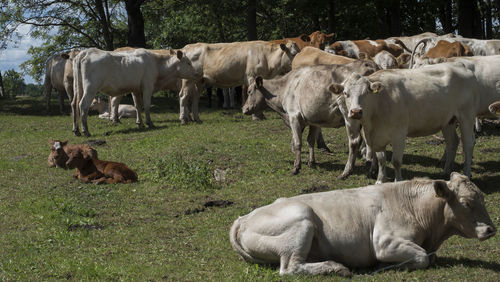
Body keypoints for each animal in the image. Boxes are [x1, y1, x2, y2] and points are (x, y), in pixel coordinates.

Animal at [72, 47, 201, 137]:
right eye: (188, 63)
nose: (197, 74)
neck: (157, 64)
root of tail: (85, 52)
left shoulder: (136, 90)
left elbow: (138, 106)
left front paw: (140, 123)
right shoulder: (148, 86)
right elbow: (147, 105)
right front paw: (149, 123)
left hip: (77, 86)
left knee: (74, 104)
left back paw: (76, 130)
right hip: (90, 87)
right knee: (83, 105)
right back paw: (85, 131)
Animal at [230, 173, 496, 276]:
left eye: (483, 197)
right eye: (466, 202)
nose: (491, 229)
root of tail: (243, 218)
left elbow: (428, 256)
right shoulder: (385, 242)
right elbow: (422, 257)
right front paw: (386, 266)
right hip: (302, 219)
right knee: (290, 268)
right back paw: (335, 267)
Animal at [240, 62, 376, 174]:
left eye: (249, 91)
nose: (244, 109)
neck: (285, 87)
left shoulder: (294, 117)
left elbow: (297, 143)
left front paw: (296, 167)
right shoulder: (314, 120)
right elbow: (310, 141)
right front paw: (312, 162)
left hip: (351, 115)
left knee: (355, 141)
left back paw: (348, 170)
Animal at [330, 62, 478, 183]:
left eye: (366, 92)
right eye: (345, 93)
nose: (356, 112)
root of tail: (459, 65)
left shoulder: (399, 134)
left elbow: (396, 161)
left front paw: (398, 181)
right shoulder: (377, 137)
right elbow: (381, 159)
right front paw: (380, 180)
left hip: (467, 116)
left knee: (468, 144)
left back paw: (466, 173)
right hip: (447, 121)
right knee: (452, 142)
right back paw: (446, 172)